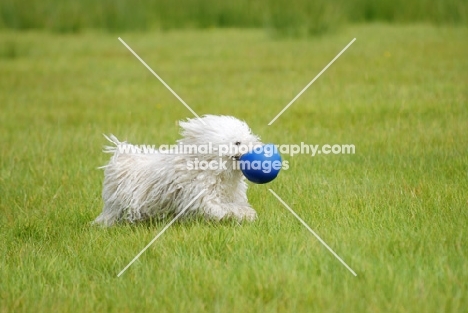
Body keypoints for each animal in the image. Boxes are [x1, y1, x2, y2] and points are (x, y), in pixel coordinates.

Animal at [93, 114, 262, 224]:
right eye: (238, 142)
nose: (255, 148)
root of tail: (122, 156)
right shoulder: (202, 196)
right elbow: (220, 208)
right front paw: (242, 214)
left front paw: (246, 214)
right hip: (118, 203)